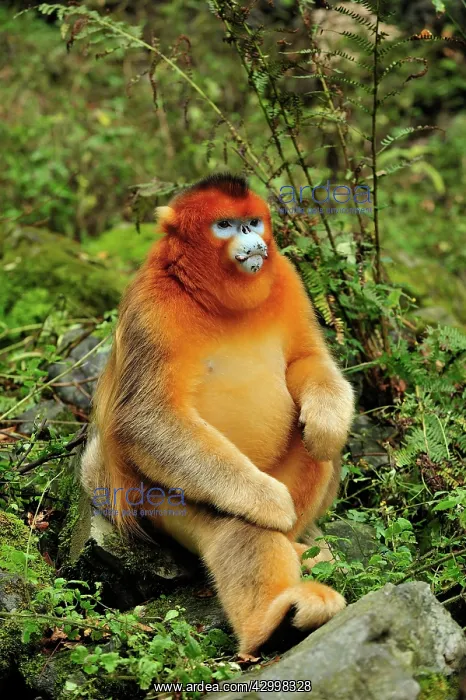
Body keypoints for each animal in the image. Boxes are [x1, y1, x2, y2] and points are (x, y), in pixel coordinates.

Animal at [81, 172, 354, 656]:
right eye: (224, 225)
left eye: (252, 222)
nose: (251, 239)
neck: (218, 300)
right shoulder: (152, 306)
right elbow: (147, 419)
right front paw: (268, 502)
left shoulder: (286, 278)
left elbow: (304, 359)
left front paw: (327, 421)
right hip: (159, 502)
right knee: (237, 524)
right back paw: (275, 621)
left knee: (317, 450)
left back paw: (300, 545)